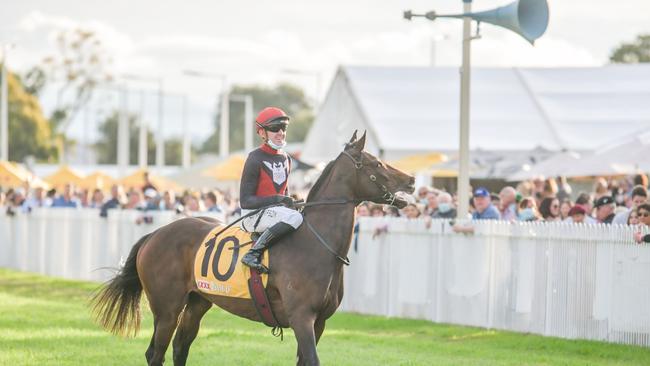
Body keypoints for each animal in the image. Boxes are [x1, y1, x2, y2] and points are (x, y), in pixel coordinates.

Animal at [90, 130, 416, 364]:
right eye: (376, 163)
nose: (412, 180)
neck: (316, 245)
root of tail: (155, 234)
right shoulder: (302, 318)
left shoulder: (319, 322)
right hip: (167, 308)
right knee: (155, 353)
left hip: (197, 302)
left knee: (180, 348)